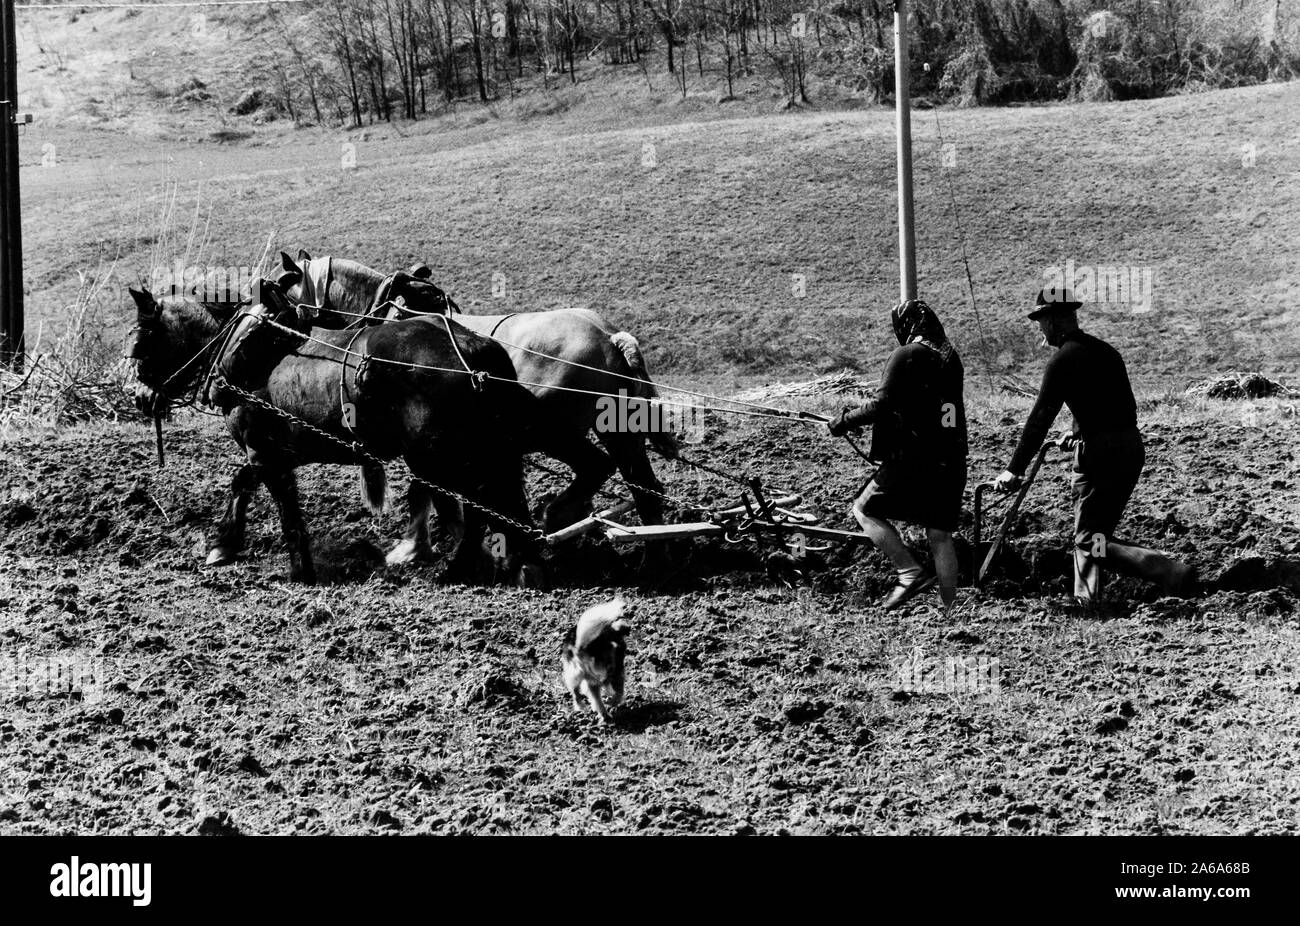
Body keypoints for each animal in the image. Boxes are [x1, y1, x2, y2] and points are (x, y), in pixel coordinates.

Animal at [126, 280, 543, 585]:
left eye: (141, 337)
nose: (141, 397)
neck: (243, 354)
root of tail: (473, 347)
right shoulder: (275, 455)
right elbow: (245, 484)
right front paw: (225, 545)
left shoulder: (263, 451)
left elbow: (281, 507)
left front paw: (298, 570)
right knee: (490, 504)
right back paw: (509, 563)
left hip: (441, 455)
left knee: (476, 508)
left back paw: (459, 569)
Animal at [561, 595, 631, 728]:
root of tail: (581, 648)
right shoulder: (616, 672)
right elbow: (618, 692)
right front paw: (613, 700)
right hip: (605, 674)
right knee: (611, 691)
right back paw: (610, 706)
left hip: (575, 675)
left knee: (577, 693)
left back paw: (587, 708)